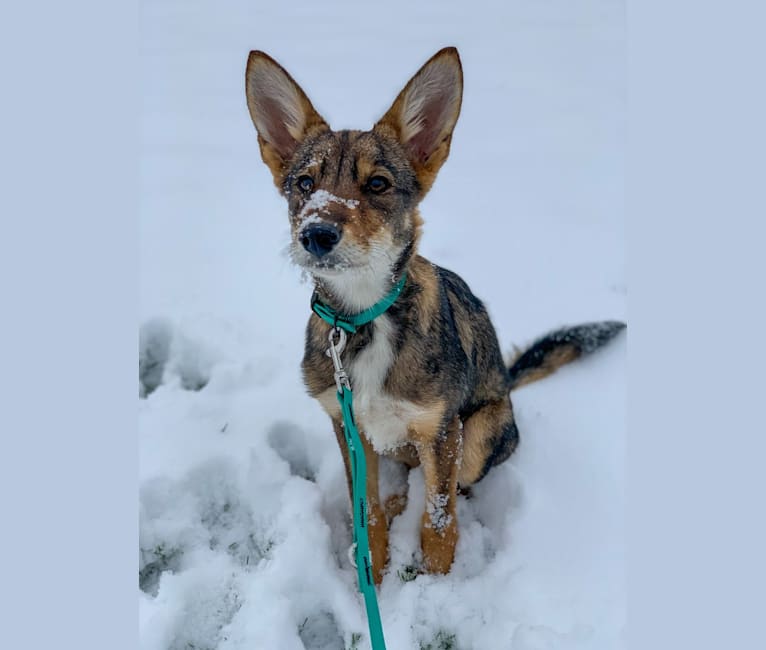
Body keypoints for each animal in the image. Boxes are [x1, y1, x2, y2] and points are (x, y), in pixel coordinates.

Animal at [243, 45, 628, 584]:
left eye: (378, 184)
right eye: (304, 182)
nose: (316, 235)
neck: (365, 320)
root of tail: (509, 383)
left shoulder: (443, 430)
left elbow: (439, 521)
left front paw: (436, 583)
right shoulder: (348, 428)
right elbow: (367, 510)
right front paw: (372, 571)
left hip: (480, 432)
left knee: (457, 483)